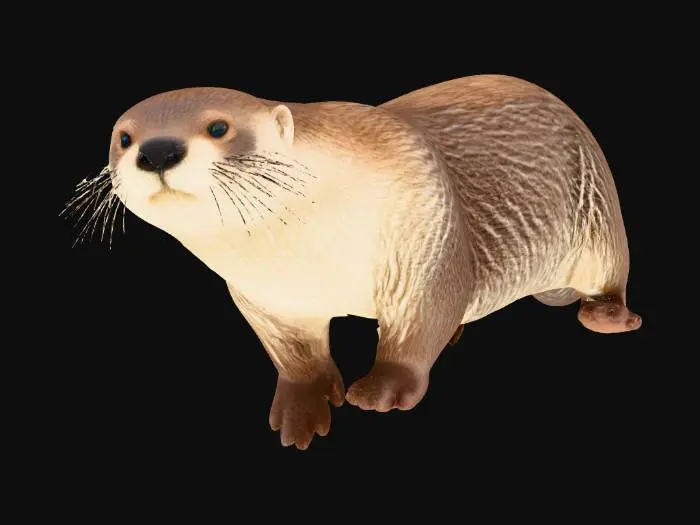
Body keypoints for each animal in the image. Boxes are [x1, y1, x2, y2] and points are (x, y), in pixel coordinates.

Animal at [64, 74, 641, 450]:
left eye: (219, 128)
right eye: (123, 137)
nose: (157, 151)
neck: (309, 249)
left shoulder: (423, 228)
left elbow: (419, 318)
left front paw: (385, 388)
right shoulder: (266, 297)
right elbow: (295, 355)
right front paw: (302, 408)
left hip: (596, 214)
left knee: (609, 271)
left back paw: (608, 315)